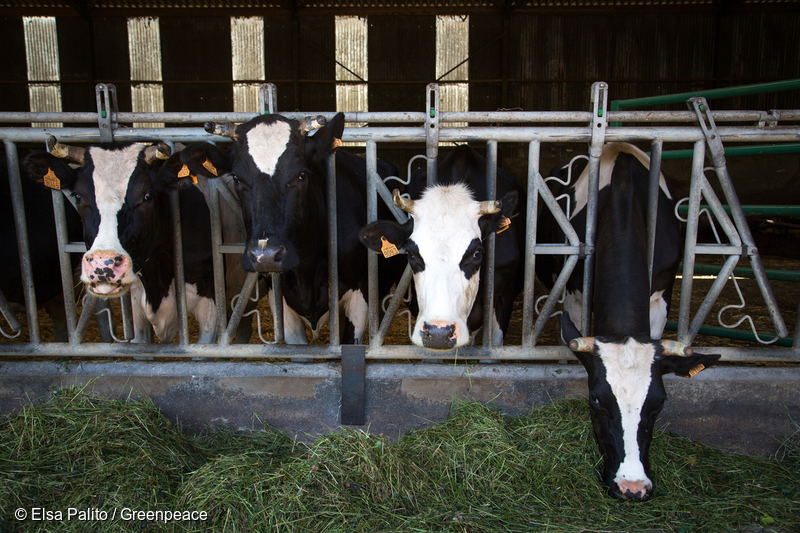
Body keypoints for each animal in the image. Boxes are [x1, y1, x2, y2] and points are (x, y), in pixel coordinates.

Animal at [181, 114, 406, 342]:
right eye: (236, 178)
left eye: (302, 175)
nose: (265, 256)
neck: (307, 270)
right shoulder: (283, 306)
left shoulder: (359, 300)